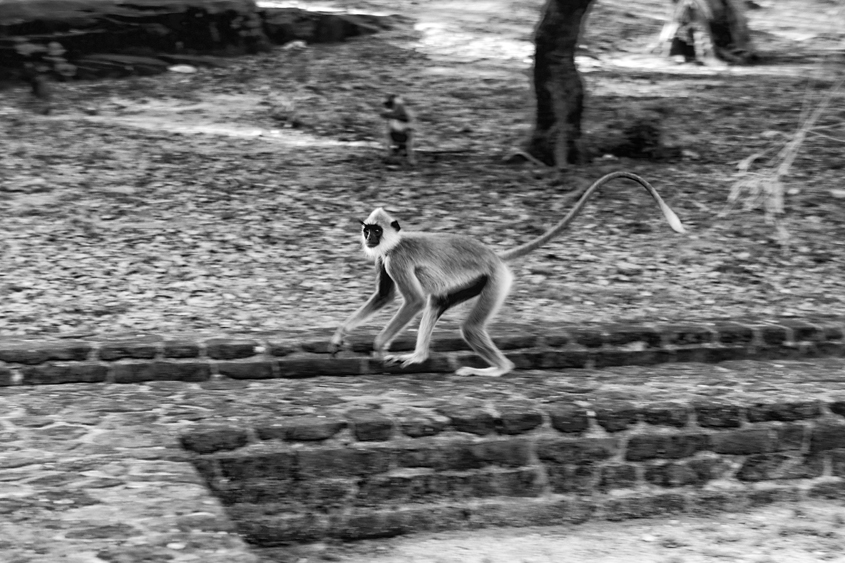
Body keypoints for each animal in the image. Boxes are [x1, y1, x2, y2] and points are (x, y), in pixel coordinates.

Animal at [330, 170, 684, 376]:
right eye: (367, 229)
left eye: (376, 230)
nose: (369, 238)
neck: (394, 243)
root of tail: (494, 256)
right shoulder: (384, 260)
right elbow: (384, 296)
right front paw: (340, 334)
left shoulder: (396, 259)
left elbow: (412, 301)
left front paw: (378, 345)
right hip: (475, 282)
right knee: (437, 304)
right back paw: (419, 357)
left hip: (496, 281)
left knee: (467, 326)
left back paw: (499, 369)